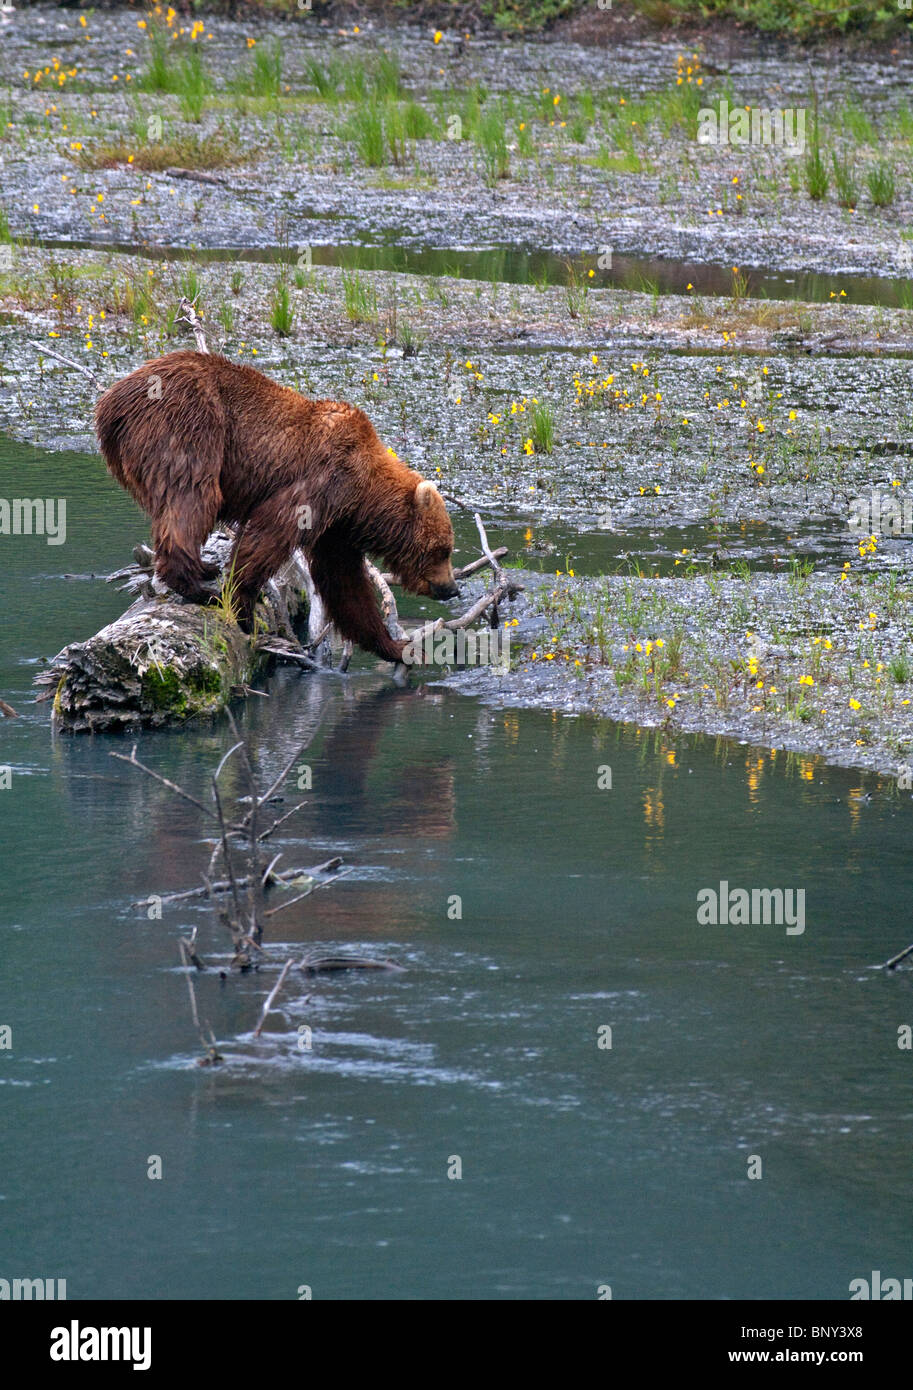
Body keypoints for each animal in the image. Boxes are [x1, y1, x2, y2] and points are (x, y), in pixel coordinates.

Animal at [94, 351, 458, 662]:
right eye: (443, 550)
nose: (451, 589)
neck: (362, 495)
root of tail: (111, 401)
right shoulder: (323, 480)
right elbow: (271, 532)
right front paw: (243, 607)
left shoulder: (337, 526)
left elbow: (344, 583)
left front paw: (397, 647)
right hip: (189, 421)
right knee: (192, 495)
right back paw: (197, 586)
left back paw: (203, 569)